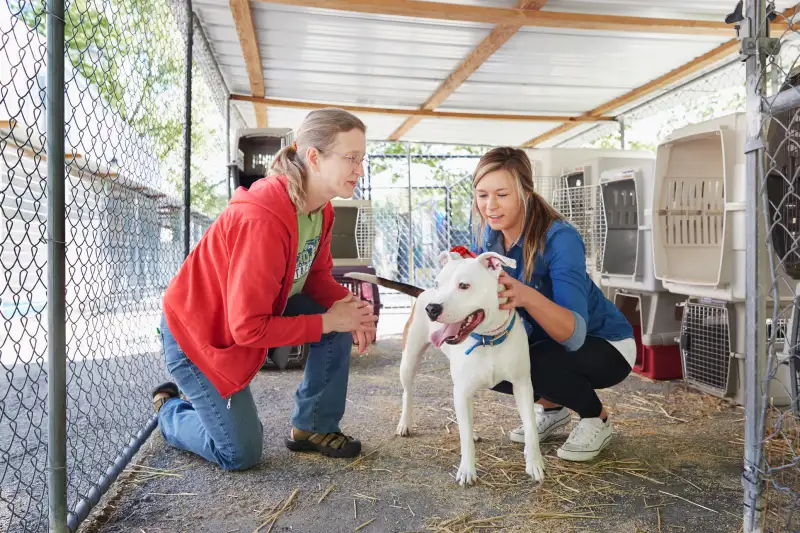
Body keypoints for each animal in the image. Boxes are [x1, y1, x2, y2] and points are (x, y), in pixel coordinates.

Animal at [392, 249, 548, 486]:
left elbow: (530, 426)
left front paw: (535, 464)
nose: (432, 308)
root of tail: (423, 293)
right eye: (438, 284)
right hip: (409, 361)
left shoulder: (522, 385)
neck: (487, 339)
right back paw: (405, 424)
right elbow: (464, 437)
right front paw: (467, 470)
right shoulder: (463, 389)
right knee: (407, 393)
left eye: (464, 285)